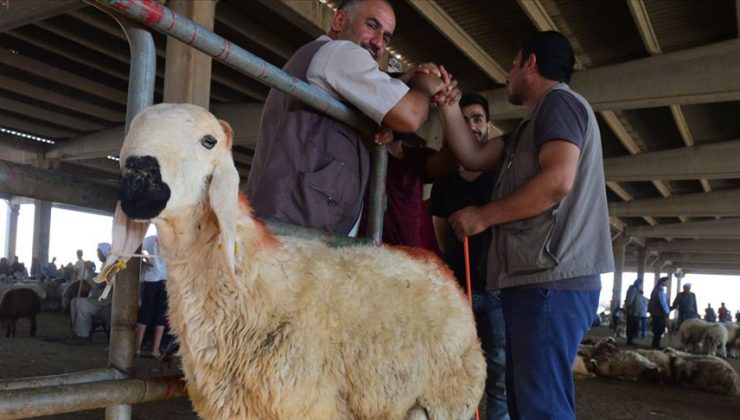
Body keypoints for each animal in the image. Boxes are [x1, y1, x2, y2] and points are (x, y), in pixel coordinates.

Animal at [98, 102, 486, 420]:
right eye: (129, 135)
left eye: (209, 141)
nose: (138, 176)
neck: (258, 280)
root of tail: (440, 266)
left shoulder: (309, 406)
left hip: (444, 400)